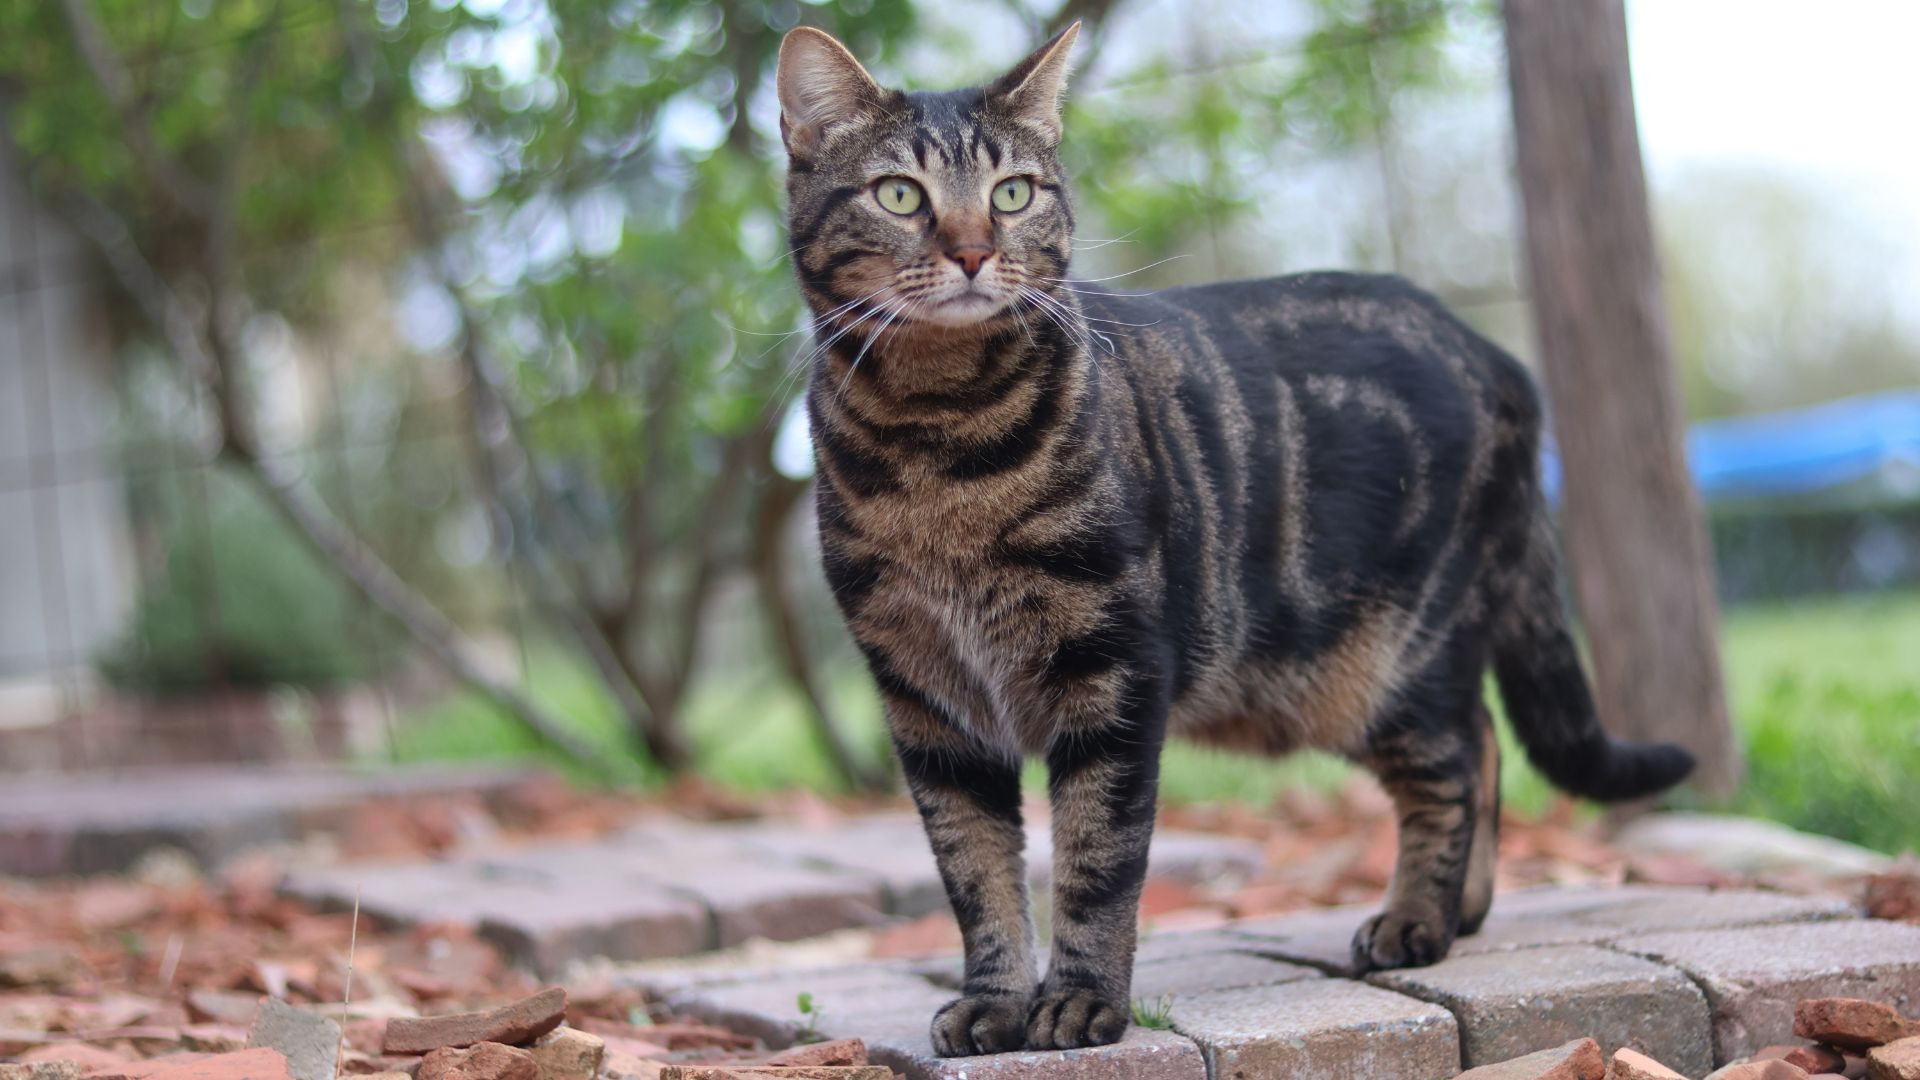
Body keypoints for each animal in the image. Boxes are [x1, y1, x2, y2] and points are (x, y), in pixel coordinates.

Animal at [768, 21, 1697, 1053]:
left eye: (1013, 193)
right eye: (900, 194)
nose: (974, 251)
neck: (938, 448)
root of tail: (1497, 356)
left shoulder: (1113, 672)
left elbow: (1096, 860)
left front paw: (1080, 1002)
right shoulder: (927, 703)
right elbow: (974, 872)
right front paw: (996, 1002)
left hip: (1384, 660)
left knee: (1456, 761)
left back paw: (1417, 919)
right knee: (1486, 742)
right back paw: (1464, 908)